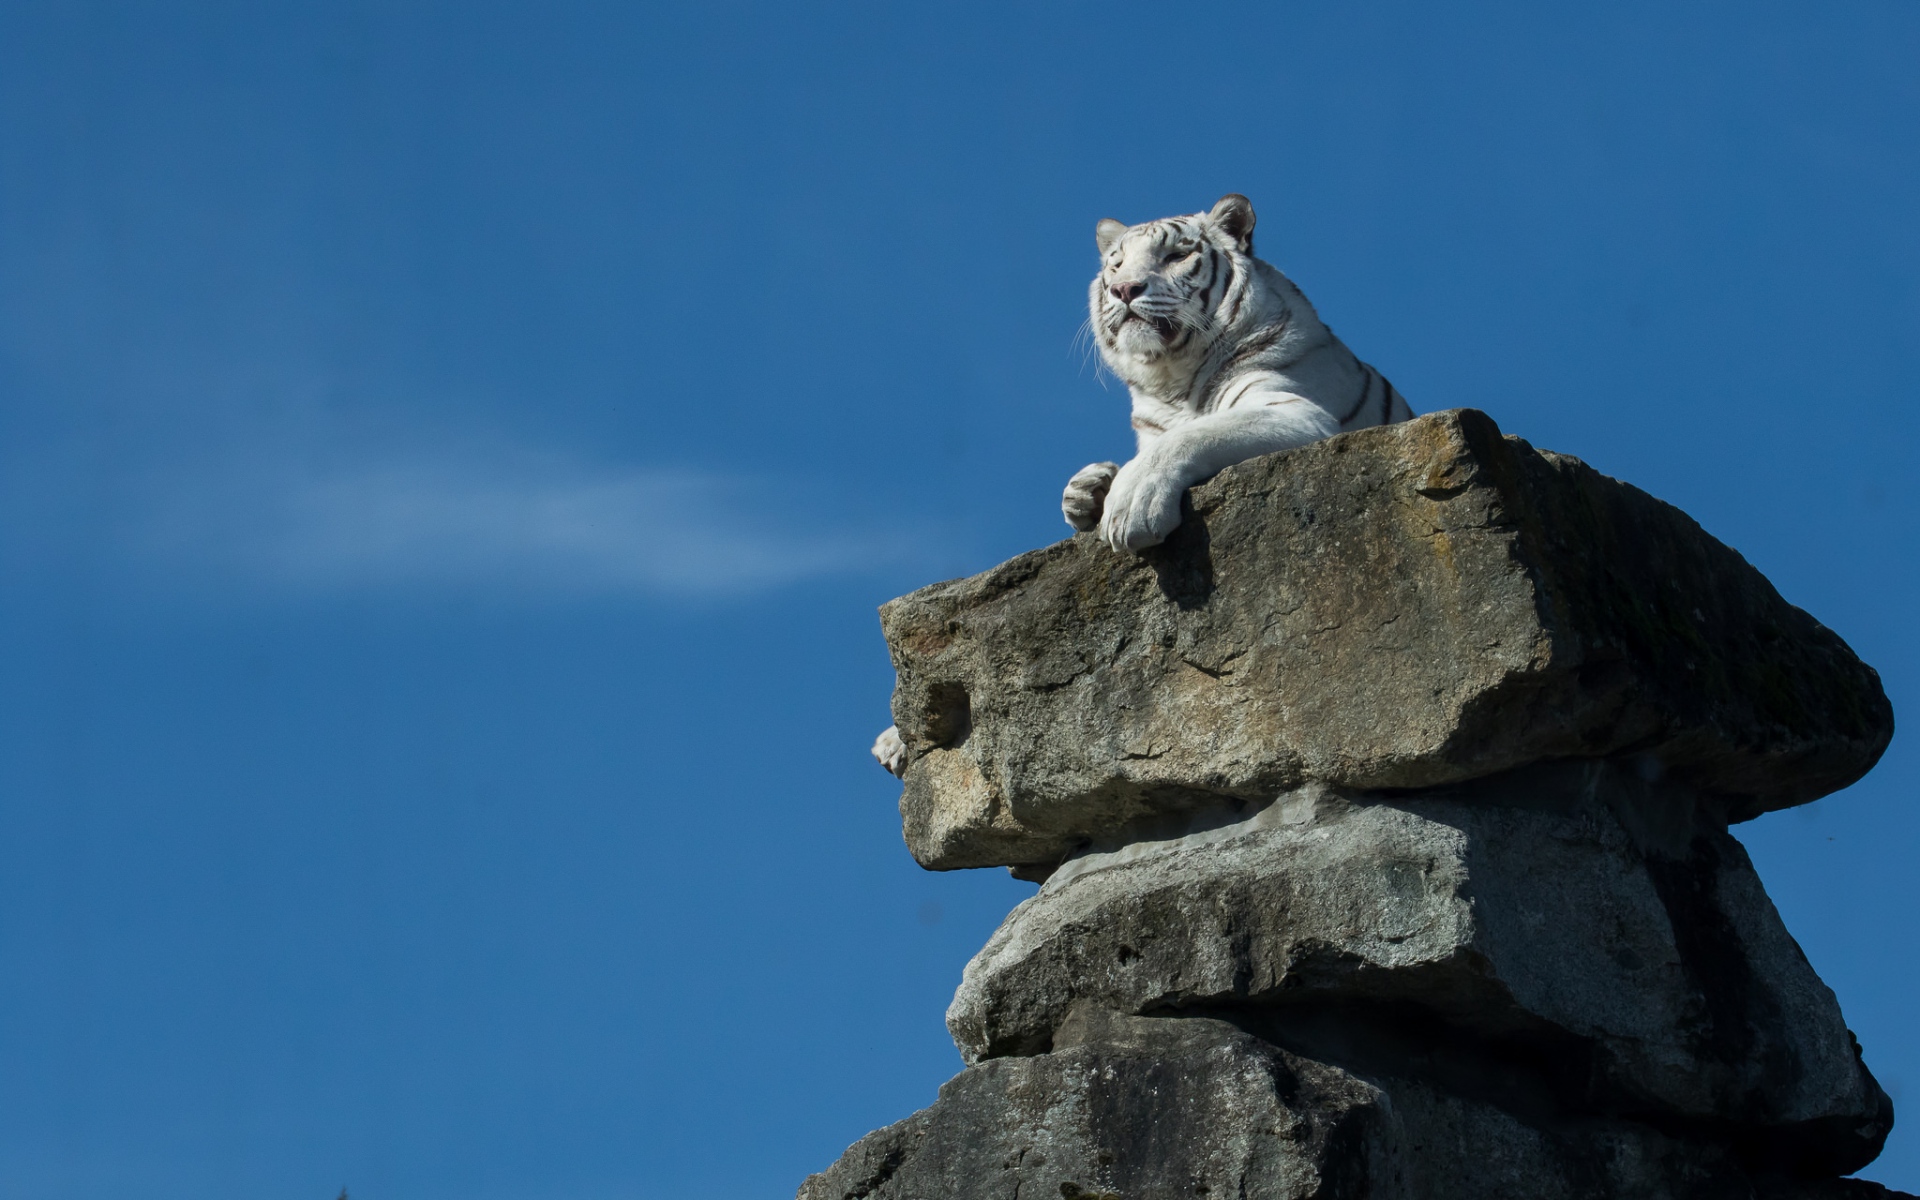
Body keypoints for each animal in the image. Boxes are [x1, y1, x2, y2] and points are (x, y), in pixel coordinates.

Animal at [872, 194, 1412, 778]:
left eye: (1176, 255)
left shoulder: (1297, 413)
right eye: (1115, 264)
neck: (1173, 381)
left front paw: (1129, 505)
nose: (1124, 289)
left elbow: (1190, 436)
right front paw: (1087, 491)